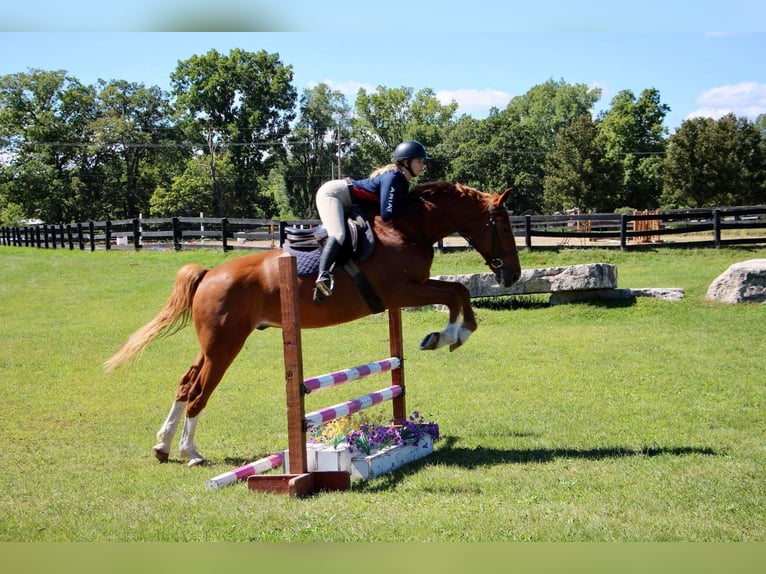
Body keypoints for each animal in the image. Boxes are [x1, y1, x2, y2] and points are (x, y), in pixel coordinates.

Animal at [105, 181, 520, 468]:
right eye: (503, 227)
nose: (513, 275)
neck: (405, 228)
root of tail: (209, 274)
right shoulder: (402, 291)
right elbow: (457, 292)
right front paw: (447, 336)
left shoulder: (407, 292)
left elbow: (458, 291)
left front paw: (449, 334)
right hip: (225, 345)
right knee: (198, 391)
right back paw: (191, 452)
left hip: (212, 344)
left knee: (186, 382)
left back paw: (163, 446)